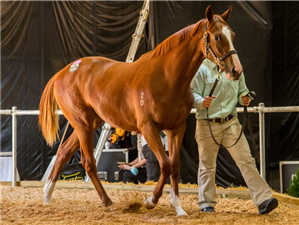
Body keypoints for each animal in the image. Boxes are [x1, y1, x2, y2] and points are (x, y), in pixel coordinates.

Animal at [38, 5, 243, 216]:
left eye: (232, 34)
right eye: (217, 36)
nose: (236, 70)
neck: (166, 77)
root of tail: (62, 73)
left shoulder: (176, 129)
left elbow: (175, 166)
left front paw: (178, 208)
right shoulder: (148, 128)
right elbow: (165, 165)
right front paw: (150, 201)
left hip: (89, 123)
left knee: (63, 152)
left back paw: (47, 196)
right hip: (82, 123)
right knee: (88, 162)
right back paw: (107, 201)